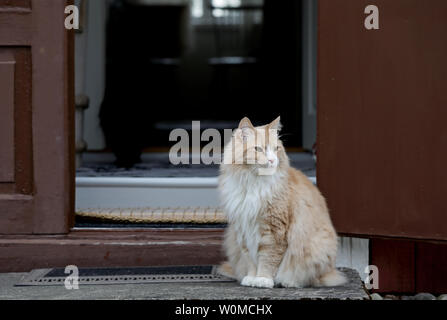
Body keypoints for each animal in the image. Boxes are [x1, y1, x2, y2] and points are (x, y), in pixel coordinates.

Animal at [219, 116, 348, 288]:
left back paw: (288, 282)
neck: (253, 183)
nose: (272, 160)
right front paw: (251, 278)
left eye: (276, 149)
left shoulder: (274, 231)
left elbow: (268, 259)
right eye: (258, 149)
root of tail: (331, 271)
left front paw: (263, 279)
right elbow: (251, 260)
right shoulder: (243, 231)